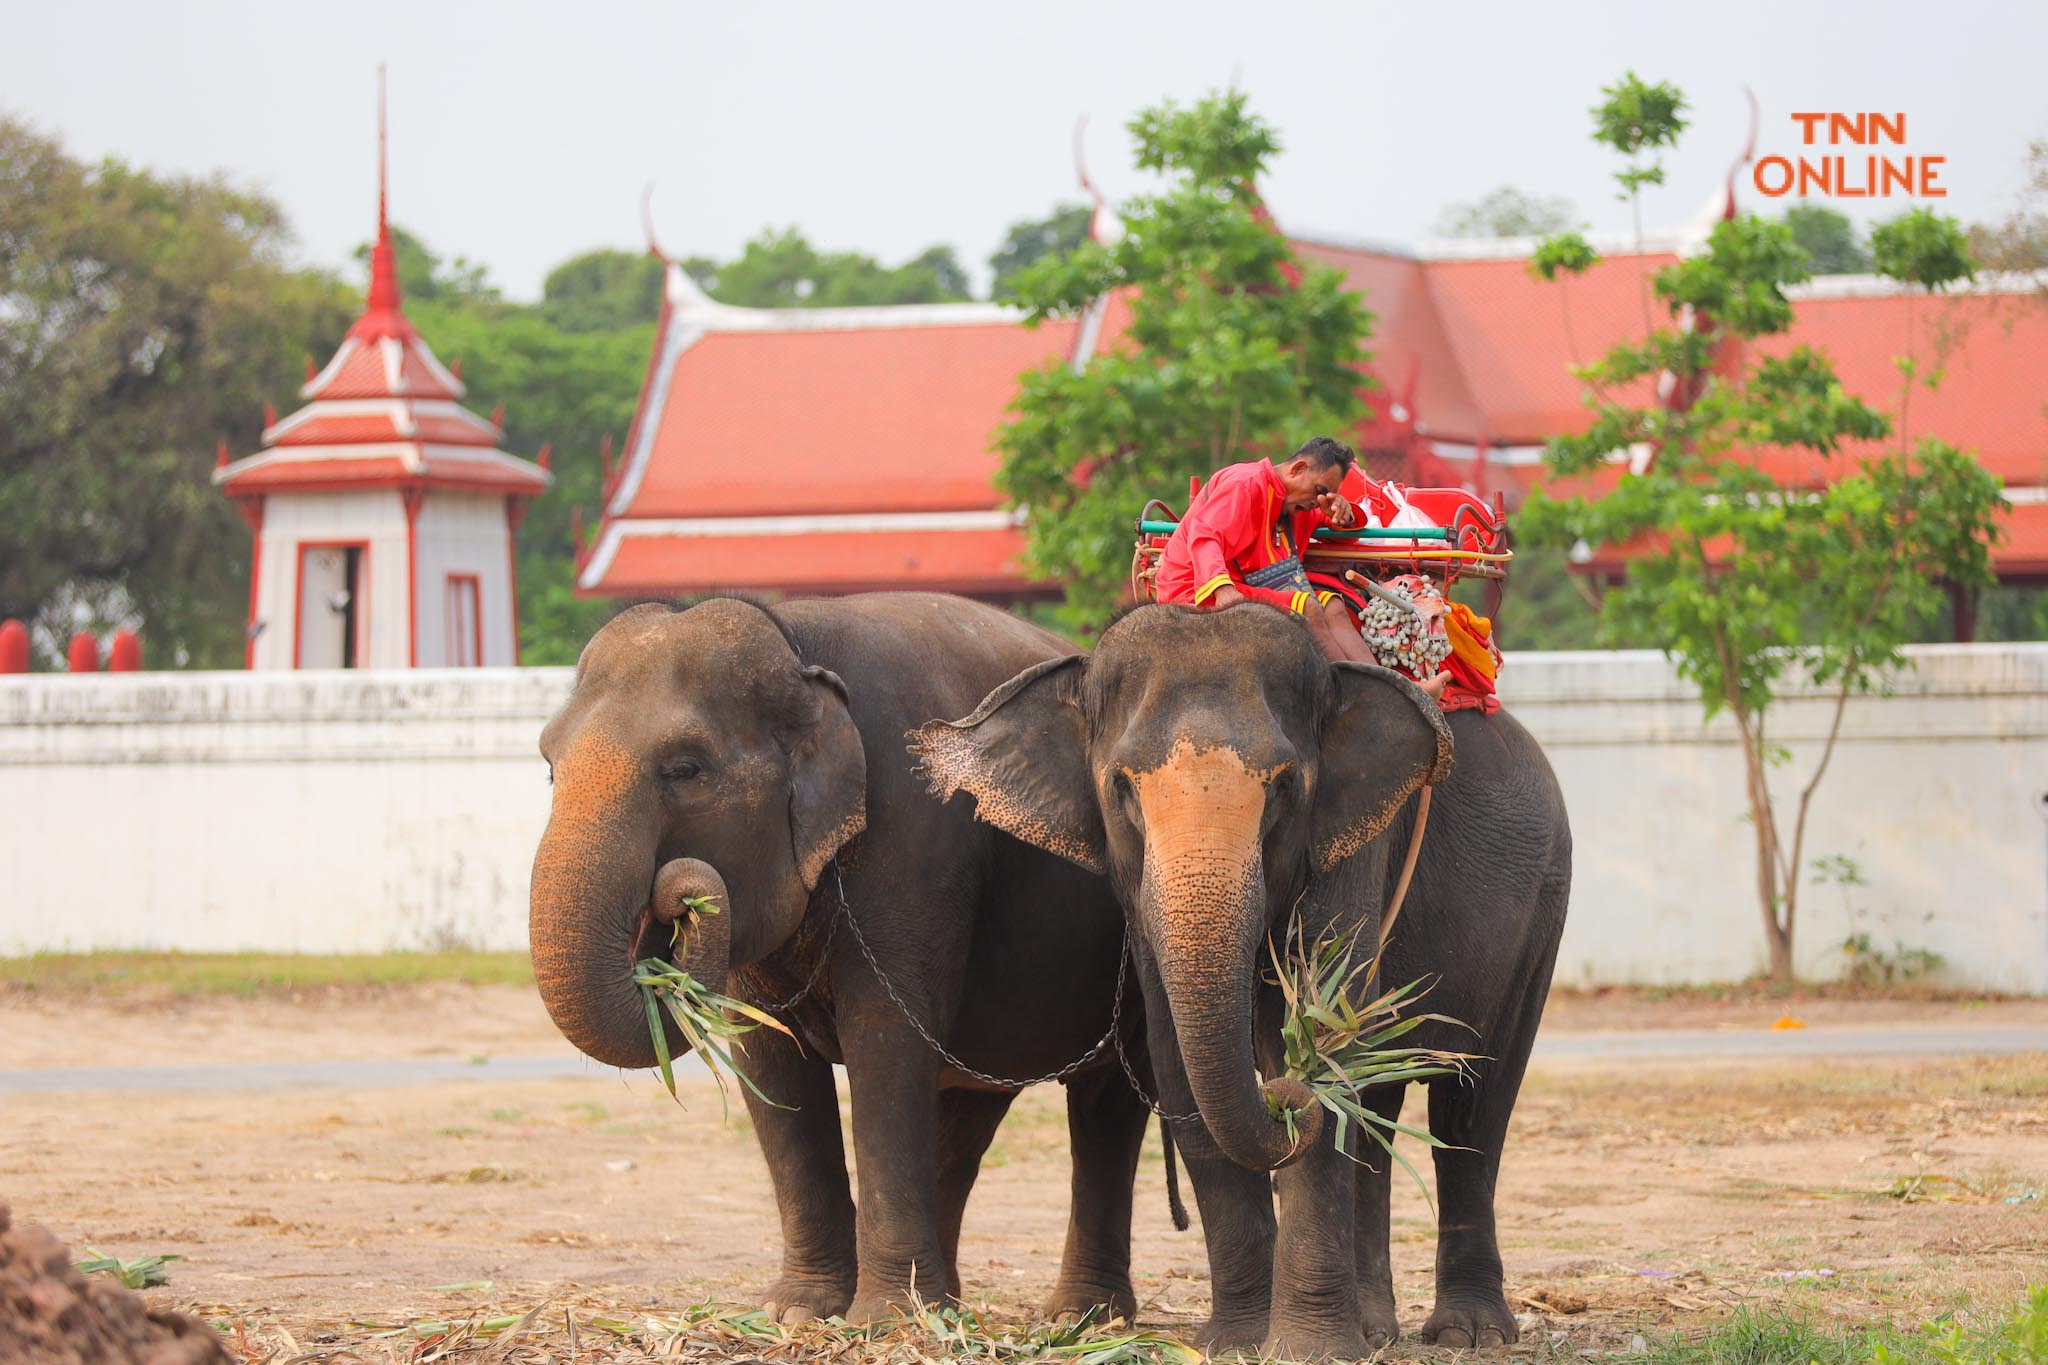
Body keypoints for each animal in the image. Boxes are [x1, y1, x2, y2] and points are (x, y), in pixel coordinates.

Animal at [532, 593, 1155, 1326]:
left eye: (685, 769)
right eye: (549, 766)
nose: (678, 900)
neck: (797, 640)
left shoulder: (915, 841)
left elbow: (885, 1043)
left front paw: (883, 1320)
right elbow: (769, 1062)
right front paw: (800, 1313)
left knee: (1107, 1105)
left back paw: (1077, 1318)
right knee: (970, 1113)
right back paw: (948, 1306)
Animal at [913, 601, 1564, 1358]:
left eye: (1283, 787)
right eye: (1121, 788)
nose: (1280, 1100)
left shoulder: (1354, 846)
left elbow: (1328, 1037)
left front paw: (1310, 1349)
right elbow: (1178, 1063)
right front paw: (1237, 1341)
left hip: (1543, 910)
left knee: (1473, 1106)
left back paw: (1468, 1333)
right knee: (1379, 1108)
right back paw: (1377, 1326)